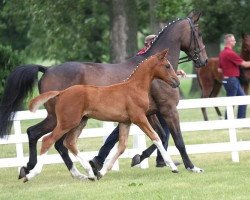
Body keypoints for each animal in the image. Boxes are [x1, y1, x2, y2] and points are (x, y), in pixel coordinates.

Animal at [24, 49, 180, 182]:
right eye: (167, 66)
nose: (177, 82)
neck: (134, 87)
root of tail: (61, 93)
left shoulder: (125, 122)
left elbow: (121, 147)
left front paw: (102, 172)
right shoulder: (139, 118)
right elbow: (156, 137)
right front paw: (173, 167)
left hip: (80, 122)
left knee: (69, 143)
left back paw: (90, 173)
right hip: (66, 122)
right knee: (48, 140)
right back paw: (30, 174)